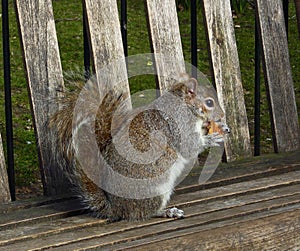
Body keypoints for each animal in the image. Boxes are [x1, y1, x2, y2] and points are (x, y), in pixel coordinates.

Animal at [49, 73, 229, 222]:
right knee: (143, 213)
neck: (184, 104)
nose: (222, 115)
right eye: (209, 102)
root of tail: (116, 209)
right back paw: (167, 212)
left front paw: (221, 128)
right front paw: (212, 138)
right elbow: (190, 145)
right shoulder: (180, 123)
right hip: (155, 188)